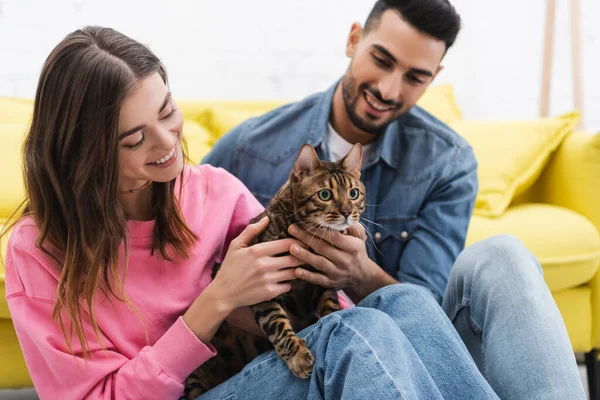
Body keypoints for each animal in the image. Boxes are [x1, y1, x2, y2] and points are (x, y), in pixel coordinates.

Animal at [185, 142, 366, 398]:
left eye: (354, 193)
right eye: (325, 195)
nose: (347, 212)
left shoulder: (322, 284)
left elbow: (331, 308)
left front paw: (332, 319)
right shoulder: (264, 286)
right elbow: (276, 323)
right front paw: (297, 357)